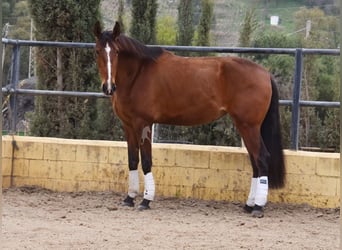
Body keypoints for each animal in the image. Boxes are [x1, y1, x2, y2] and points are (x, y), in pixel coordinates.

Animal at [93, 21, 286, 217]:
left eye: (117, 51)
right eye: (98, 51)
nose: (108, 87)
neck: (138, 73)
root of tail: (265, 74)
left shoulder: (144, 124)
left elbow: (146, 161)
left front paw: (146, 200)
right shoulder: (128, 125)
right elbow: (132, 160)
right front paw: (129, 198)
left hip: (249, 126)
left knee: (261, 158)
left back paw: (258, 207)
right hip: (244, 126)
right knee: (254, 163)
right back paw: (249, 205)